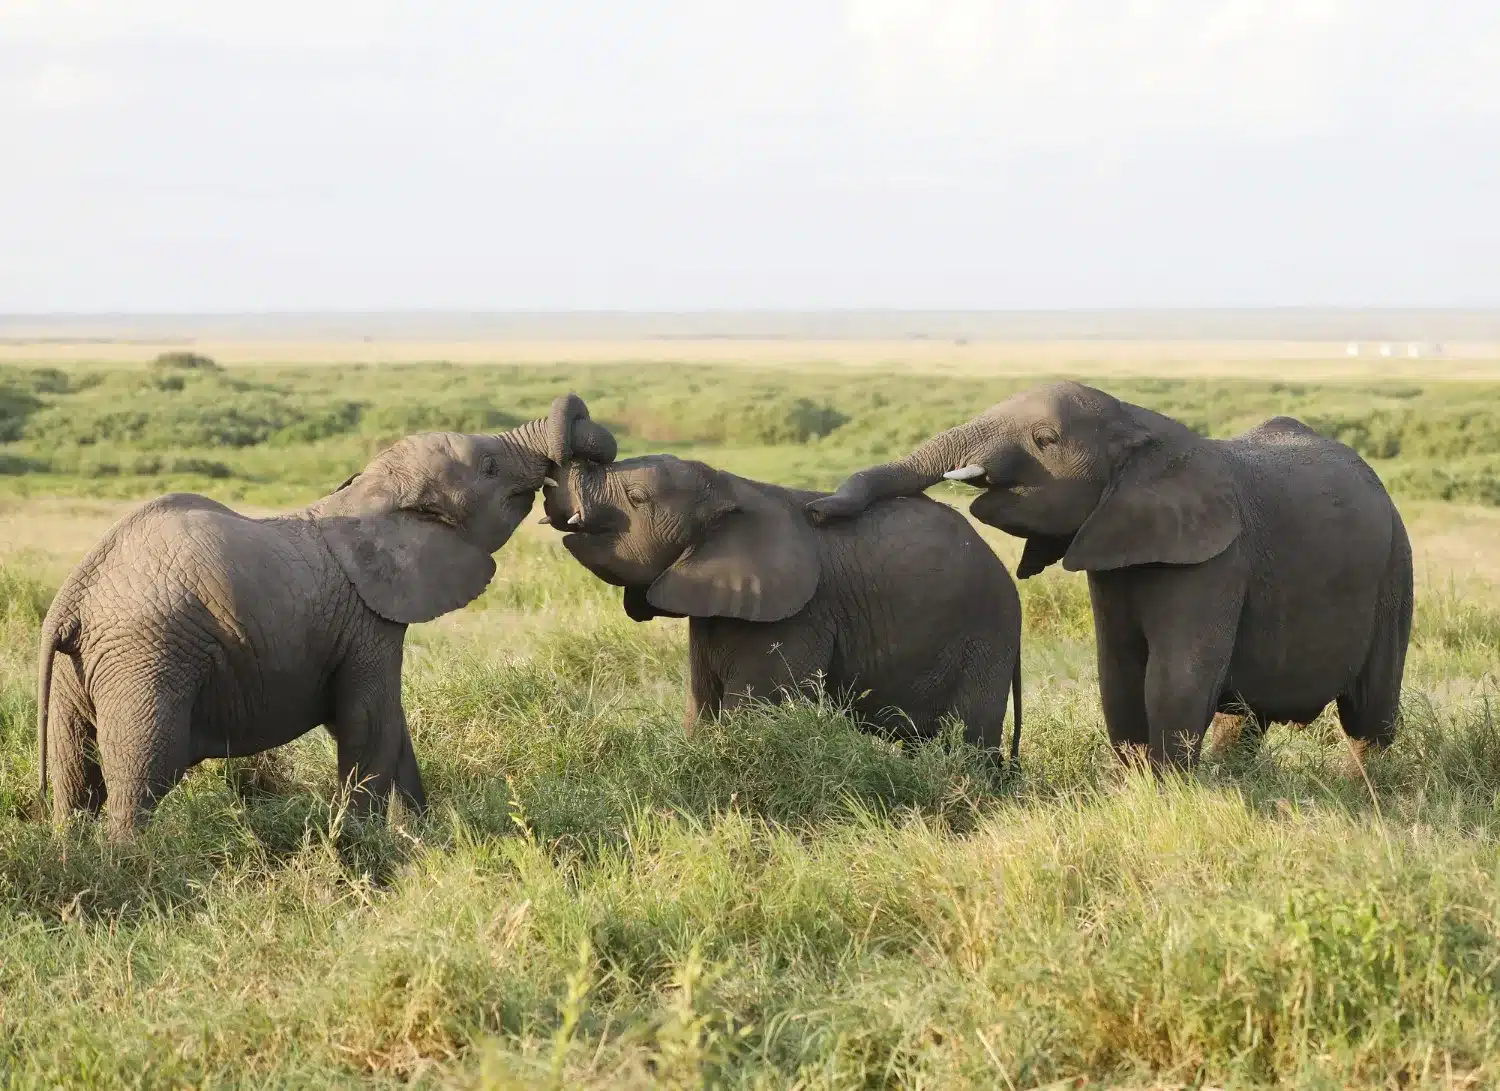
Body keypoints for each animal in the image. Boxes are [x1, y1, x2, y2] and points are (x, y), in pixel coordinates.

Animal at [36, 394, 615, 836]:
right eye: (490, 468)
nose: (567, 495)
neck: (368, 497)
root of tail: (72, 599)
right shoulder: (367, 622)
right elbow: (368, 722)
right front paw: (367, 847)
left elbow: (388, 726)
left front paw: (421, 839)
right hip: (147, 656)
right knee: (140, 776)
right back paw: (132, 863)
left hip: (82, 668)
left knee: (74, 780)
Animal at [540, 452, 1022, 758]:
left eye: (637, 500)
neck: (732, 488)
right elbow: (701, 711)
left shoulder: (798, 616)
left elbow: (753, 716)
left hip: (984, 639)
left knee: (969, 739)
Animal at [806, 381, 1413, 768]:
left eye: (1045, 440)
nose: (818, 511)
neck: (1138, 425)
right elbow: (1118, 673)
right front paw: (1134, 784)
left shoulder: (1217, 559)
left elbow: (1175, 678)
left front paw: (1168, 795)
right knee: (1245, 718)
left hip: (1395, 567)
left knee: (1370, 714)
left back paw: (1364, 790)